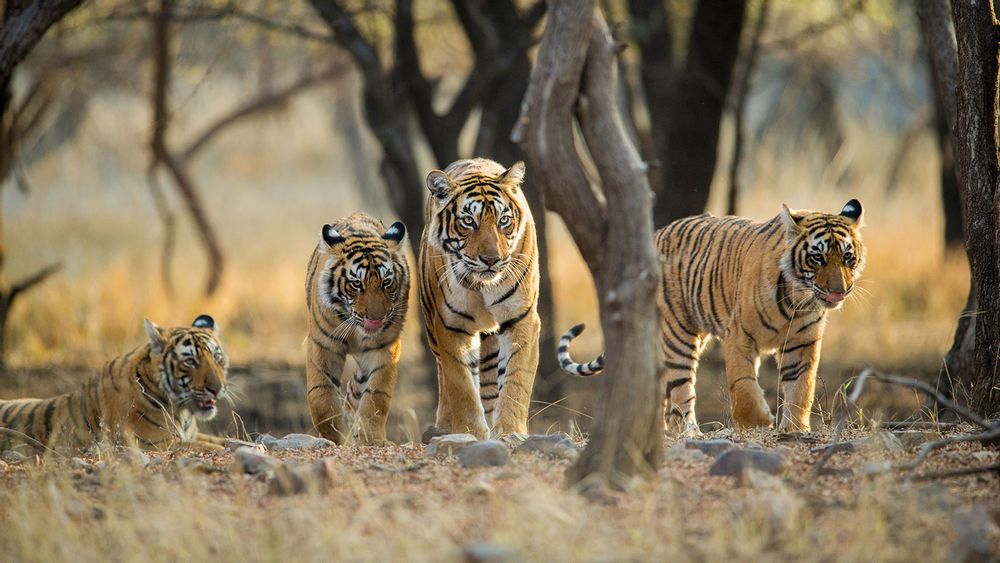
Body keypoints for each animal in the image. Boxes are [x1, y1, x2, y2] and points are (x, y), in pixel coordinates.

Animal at [0, 316, 229, 456]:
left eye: (217, 357)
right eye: (190, 361)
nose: (217, 389)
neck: (183, 413)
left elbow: (224, 440)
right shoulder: (157, 443)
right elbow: (212, 447)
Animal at [302, 210, 408, 446]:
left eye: (386, 282)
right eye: (356, 284)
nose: (376, 319)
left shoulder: (384, 348)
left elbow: (376, 396)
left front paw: (371, 439)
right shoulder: (322, 345)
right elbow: (321, 397)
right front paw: (337, 437)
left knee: (356, 390)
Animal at [420, 159, 544, 440]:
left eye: (503, 220)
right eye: (468, 221)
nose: (491, 259)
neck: (482, 286)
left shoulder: (521, 318)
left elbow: (516, 379)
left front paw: (510, 431)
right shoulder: (451, 325)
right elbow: (461, 385)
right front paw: (471, 433)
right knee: (444, 377)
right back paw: (444, 425)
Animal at [560, 200, 864, 434]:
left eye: (847, 257)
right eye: (817, 258)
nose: (839, 291)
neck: (797, 299)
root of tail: (656, 234)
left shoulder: (802, 343)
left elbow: (802, 387)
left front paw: (795, 428)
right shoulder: (739, 336)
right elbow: (742, 386)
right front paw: (758, 422)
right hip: (678, 335)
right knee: (681, 390)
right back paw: (688, 433)